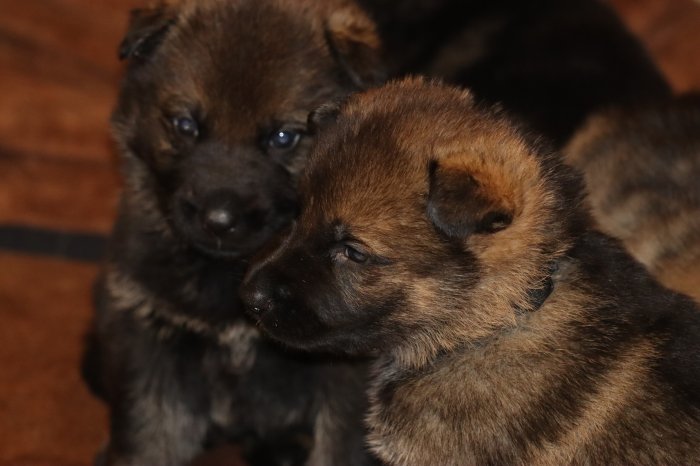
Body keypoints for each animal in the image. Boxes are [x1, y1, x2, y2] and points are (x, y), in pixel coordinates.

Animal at [82, 0, 384, 464]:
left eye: (283, 137)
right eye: (185, 126)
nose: (219, 219)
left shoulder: (349, 365)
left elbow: (343, 443)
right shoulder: (149, 335)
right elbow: (149, 433)